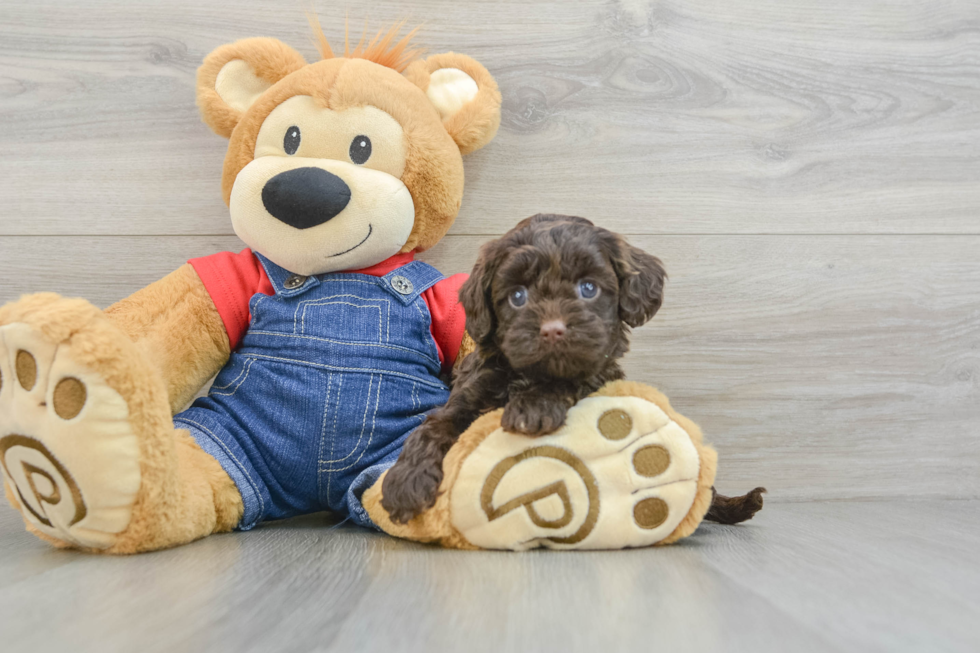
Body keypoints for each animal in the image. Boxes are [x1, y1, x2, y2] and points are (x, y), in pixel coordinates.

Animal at [382, 214, 764, 524]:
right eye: (517, 296)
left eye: (588, 288)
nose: (553, 330)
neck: (530, 373)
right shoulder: (467, 395)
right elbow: (432, 427)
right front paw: (404, 483)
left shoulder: (598, 379)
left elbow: (569, 382)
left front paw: (532, 407)